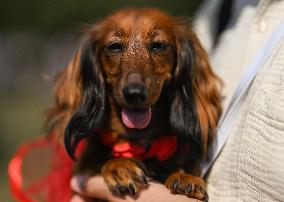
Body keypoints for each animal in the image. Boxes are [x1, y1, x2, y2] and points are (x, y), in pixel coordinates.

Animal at [46, 7, 222, 200]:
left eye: (158, 45)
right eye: (114, 46)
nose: (134, 94)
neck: (139, 137)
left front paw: (184, 177)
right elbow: (99, 161)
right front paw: (120, 166)